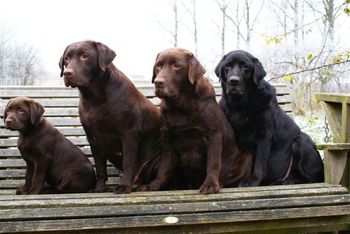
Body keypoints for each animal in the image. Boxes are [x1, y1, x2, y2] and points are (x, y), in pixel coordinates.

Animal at [59, 40, 164, 194]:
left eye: (85, 56)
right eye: (67, 58)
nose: (67, 73)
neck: (94, 98)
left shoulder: (129, 134)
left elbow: (128, 163)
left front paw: (124, 186)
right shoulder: (93, 139)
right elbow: (100, 168)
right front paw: (99, 188)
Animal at [147, 48, 252, 195]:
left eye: (176, 66)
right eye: (158, 66)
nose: (158, 82)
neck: (180, 108)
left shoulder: (213, 135)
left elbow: (213, 163)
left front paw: (210, 185)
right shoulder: (167, 138)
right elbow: (165, 165)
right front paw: (155, 185)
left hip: (246, 157)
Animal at [215, 49, 324, 186]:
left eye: (245, 66)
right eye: (227, 66)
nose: (233, 80)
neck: (240, 105)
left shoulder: (264, 135)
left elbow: (259, 163)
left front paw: (252, 181)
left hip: (300, 142)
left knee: (312, 179)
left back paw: (291, 180)